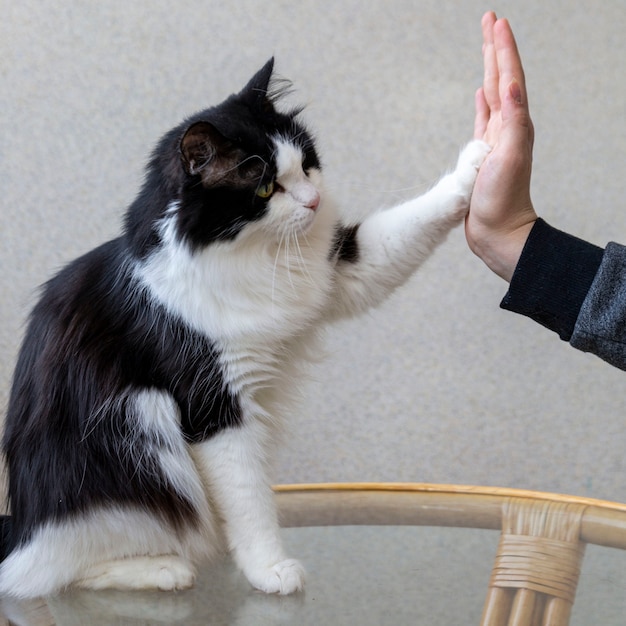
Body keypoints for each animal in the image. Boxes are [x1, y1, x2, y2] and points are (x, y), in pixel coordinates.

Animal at [0, 58, 488, 596]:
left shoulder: (342, 271)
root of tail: (19, 526)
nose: (314, 201)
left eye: (307, 164)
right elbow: (249, 499)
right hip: (140, 432)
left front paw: (480, 157)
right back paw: (164, 569)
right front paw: (270, 570)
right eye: (264, 188)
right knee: (51, 572)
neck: (253, 255)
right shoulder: (215, 405)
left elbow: (413, 219)